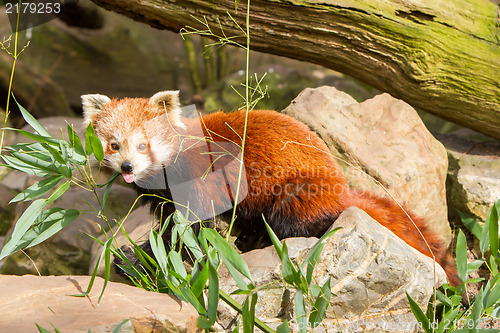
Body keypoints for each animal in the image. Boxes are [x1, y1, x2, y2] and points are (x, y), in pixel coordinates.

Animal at [82, 91, 460, 286]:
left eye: (143, 145)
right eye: (114, 144)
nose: (128, 168)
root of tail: (341, 185)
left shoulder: (197, 182)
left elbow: (188, 232)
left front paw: (143, 259)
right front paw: (139, 256)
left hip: (299, 189)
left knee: (294, 221)